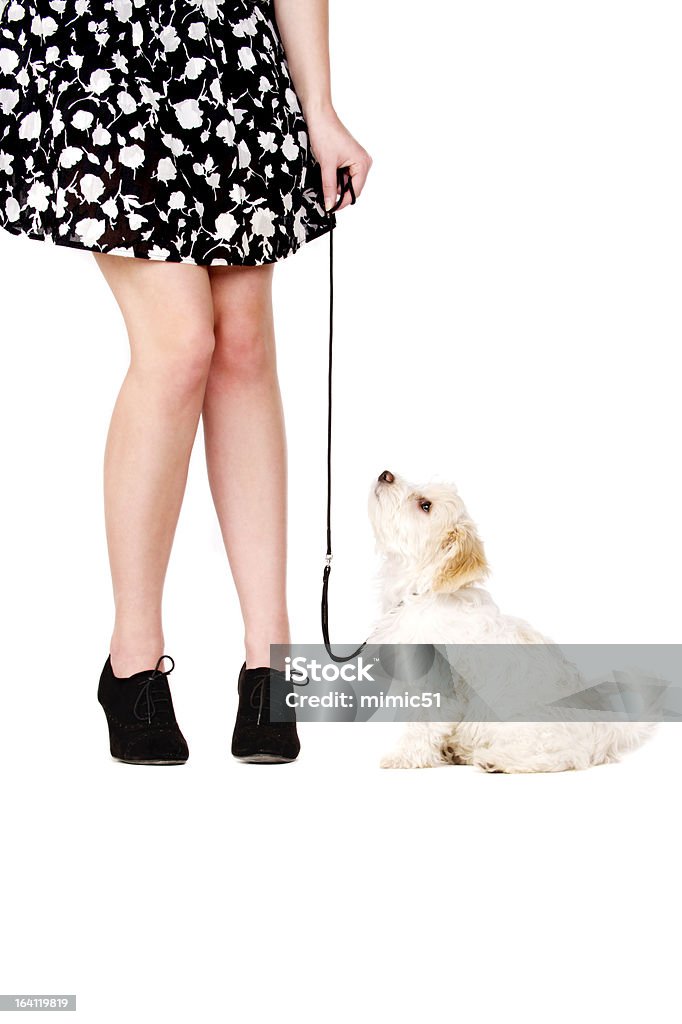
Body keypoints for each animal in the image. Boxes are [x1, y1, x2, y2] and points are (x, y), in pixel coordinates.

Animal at [368, 468, 651, 770]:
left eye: (425, 505)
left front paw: (404, 756)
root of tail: (606, 732)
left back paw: (494, 760)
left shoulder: (435, 684)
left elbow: (422, 724)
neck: (422, 592)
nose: (386, 474)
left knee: (563, 756)